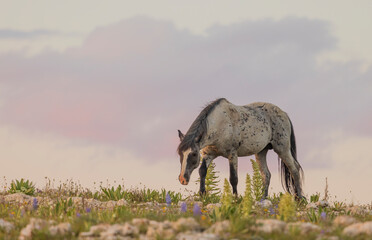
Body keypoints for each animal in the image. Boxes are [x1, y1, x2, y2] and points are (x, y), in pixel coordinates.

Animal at [176, 97, 304, 199]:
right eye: (180, 154)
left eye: (193, 154)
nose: (182, 179)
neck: (220, 123)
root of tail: (284, 113)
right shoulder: (208, 154)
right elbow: (202, 171)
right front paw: (202, 195)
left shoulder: (232, 154)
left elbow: (233, 178)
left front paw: (235, 198)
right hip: (261, 152)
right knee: (266, 174)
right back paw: (263, 199)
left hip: (282, 149)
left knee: (294, 169)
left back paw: (299, 198)